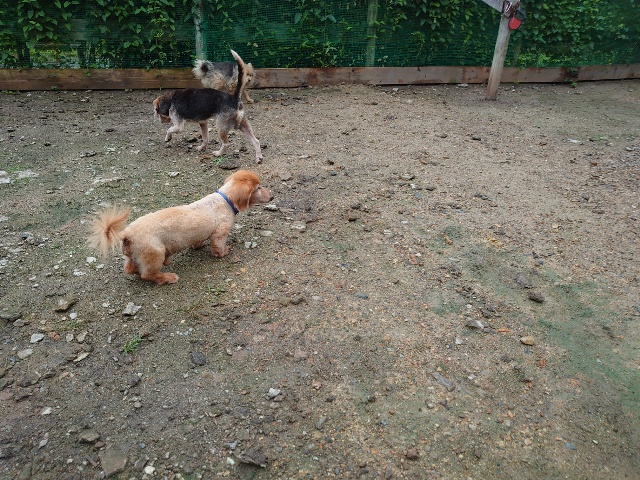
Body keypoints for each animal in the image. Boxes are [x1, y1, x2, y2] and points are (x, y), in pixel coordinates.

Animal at [88, 170, 273, 285]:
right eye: (258, 188)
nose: (272, 196)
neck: (224, 200)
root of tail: (126, 234)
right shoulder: (220, 234)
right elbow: (218, 247)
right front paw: (223, 252)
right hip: (155, 252)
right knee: (148, 274)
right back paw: (167, 277)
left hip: (135, 255)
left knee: (130, 269)